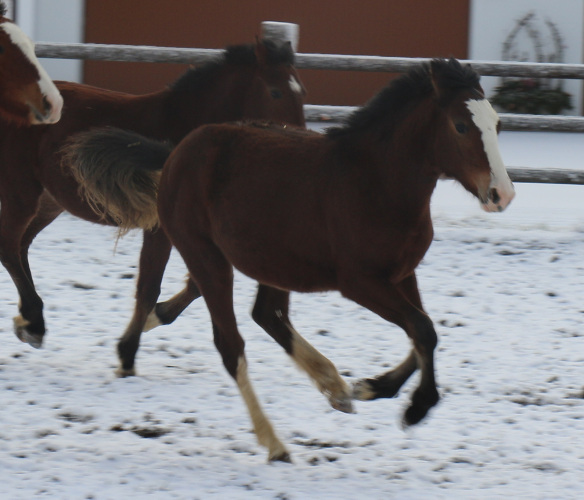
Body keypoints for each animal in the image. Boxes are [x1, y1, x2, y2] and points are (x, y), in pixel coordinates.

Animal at [0, 40, 308, 360]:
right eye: (275, 91)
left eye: (302, 91)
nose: (299, 138)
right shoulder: (161, 228)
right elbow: (150, 287)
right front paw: (129, 350)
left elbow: (195, 284)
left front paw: (157, 317)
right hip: (21, 191)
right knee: (8, 247)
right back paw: (34, 322)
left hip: (49, 202)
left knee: (21, 246)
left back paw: (28, 322)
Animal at [69, 58, 516, 460]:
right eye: (461, 126)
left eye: (497, 125)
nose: (502, 195)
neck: (375, 183)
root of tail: (177, 149)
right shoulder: (361, 282)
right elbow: (423, 330)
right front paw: (415, 407)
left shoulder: (403, 274)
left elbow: (423, 332)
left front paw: (371, 387)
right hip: (206, 256)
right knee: (231, 344)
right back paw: (275, 443)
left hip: (272, 261)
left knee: (267, 314)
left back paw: (334, 387)